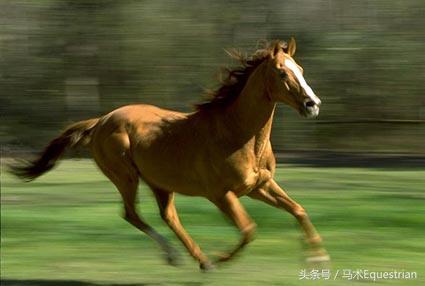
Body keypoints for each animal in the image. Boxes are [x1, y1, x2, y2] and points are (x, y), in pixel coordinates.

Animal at [9, 38, 328, 270]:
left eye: (301, 69)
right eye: (282, 72)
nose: (313, 104)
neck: (237, 134)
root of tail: (100, 121)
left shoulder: (258, 186)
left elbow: (298, 209)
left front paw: (317, 257)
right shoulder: (221, 195)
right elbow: (249, 229)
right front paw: (221, 258)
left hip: (160, 183)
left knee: (167, 216)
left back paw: (197, 259)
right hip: (126, 177)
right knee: (132, 214)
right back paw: (185, 258)